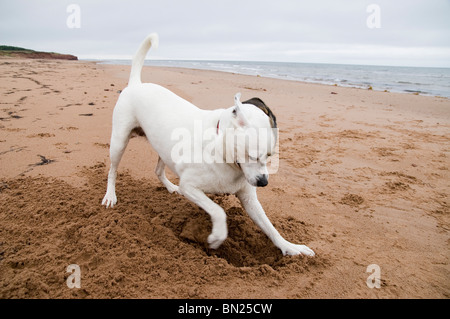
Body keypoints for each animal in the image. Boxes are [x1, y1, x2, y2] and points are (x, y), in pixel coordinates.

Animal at [102, 33, 314, 258]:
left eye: (270, 156)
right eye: (253, 155)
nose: (264, 182)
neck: (224, 154)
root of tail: (136, 84)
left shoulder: (249, 199)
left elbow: (270, 227)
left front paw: (290, 247)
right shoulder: (190, 186)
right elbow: (219, 211)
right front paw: (217, 236)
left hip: (164, 149)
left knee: (158, 170)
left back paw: (169, 187)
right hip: (119, 142)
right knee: (113, 170)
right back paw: (110, 195)